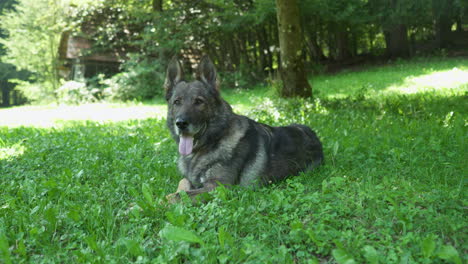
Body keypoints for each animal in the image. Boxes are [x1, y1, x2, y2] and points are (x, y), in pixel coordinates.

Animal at [165, 55, 322, 200]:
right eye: (177, 102)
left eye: (198, 102)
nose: (181, 123)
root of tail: (311, 133)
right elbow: (182, 183)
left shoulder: (218, 187)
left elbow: (174, 197)